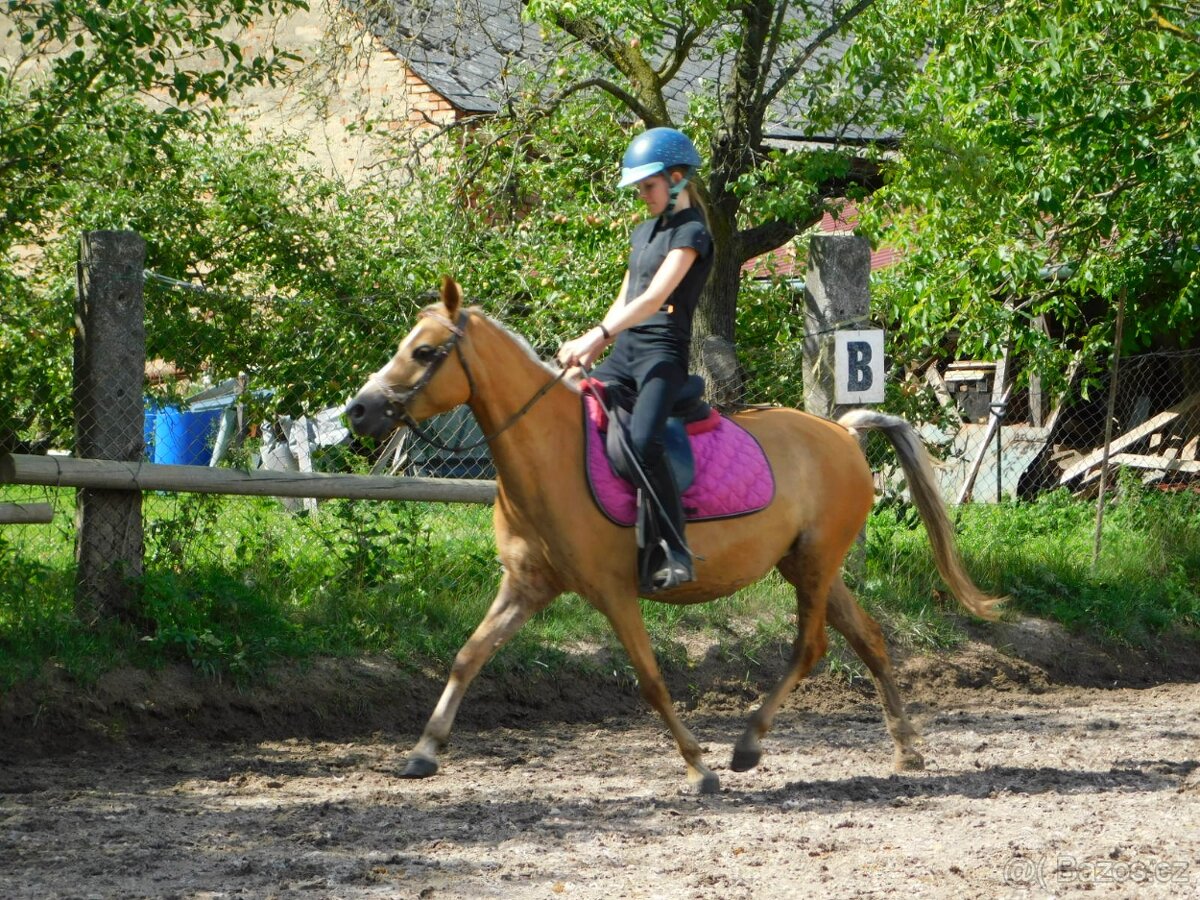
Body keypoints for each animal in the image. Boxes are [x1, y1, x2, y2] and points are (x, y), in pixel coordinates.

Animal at [346, 276, 1001, 794]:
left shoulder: (613, 593)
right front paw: (423, 751)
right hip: (807, 563)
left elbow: (652, 681)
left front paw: (697, 766)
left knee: (811, 647)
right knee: (869, 639)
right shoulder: (527, 586)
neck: (548, 452)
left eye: (424, 350)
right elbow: (468, 656)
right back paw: (906, 748)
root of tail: (842, 433)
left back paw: (748, 745)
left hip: (815, 563)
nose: (359, 411)